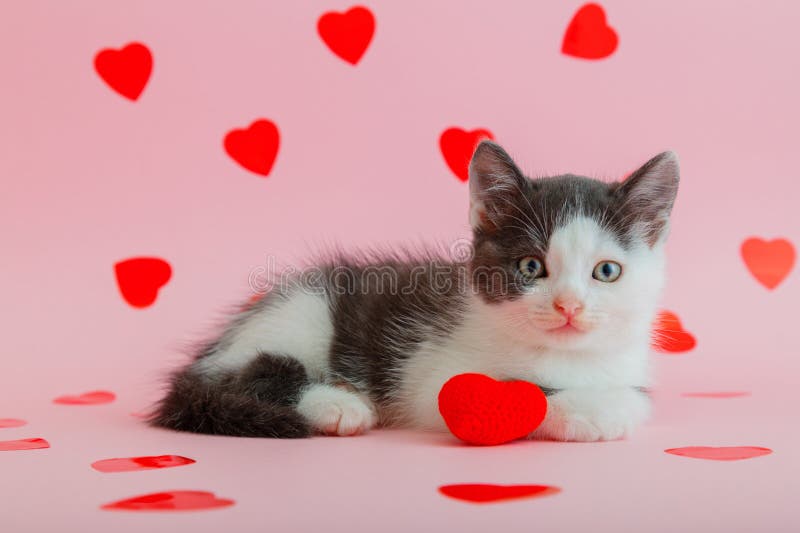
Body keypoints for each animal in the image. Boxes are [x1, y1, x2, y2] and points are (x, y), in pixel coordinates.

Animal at [148, 141, 676, 440]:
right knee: (248, 373)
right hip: (302, 311)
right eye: (530, 266)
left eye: (606, 271)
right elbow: (520, 392)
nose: (569, 306)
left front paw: (611, 404)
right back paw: (338, 404)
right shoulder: (435, 377)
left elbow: (639, 400)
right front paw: (592, 409)